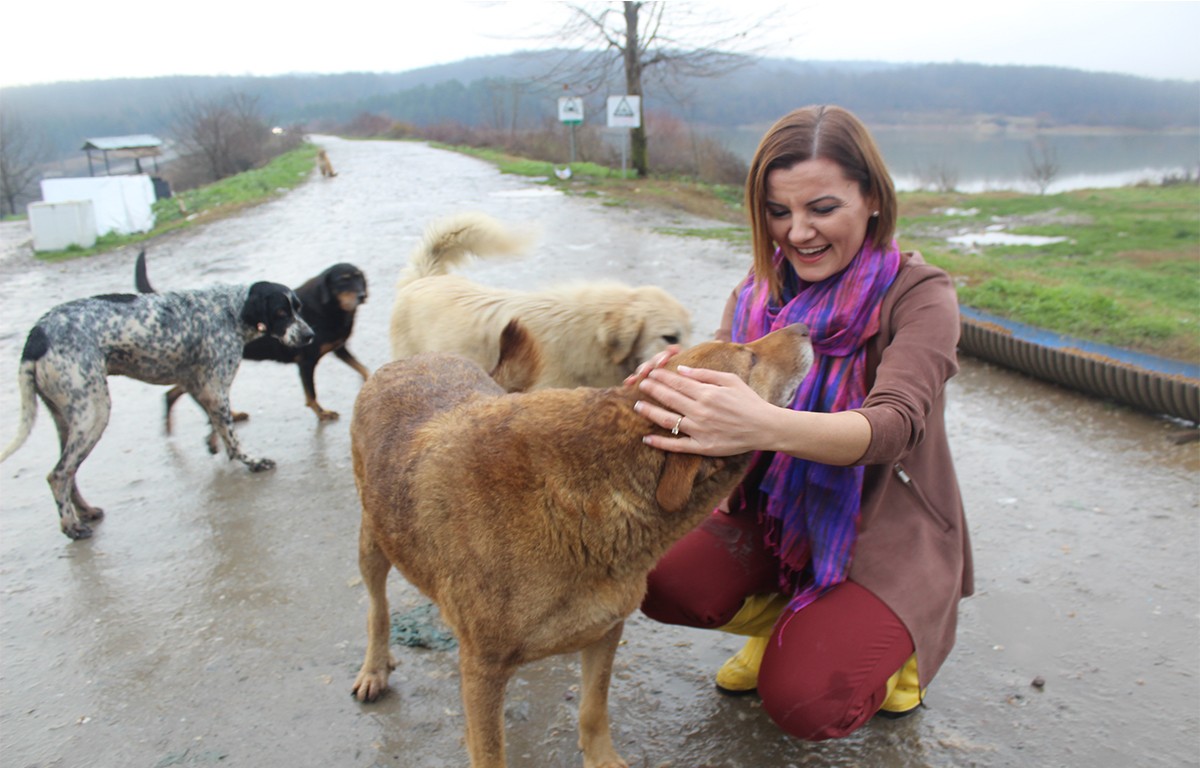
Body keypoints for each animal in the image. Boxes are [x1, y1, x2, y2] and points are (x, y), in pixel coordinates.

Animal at [2, 270, 312, 540]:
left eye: (298, 308)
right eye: (281, 313)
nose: (310, 335)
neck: (230, 311)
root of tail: (37, 335)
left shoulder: (198, 386)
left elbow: (218, 426)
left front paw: (214, 444)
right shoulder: (214, 389)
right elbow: (233, 438)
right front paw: (252, 462)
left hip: (68, 419)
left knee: (69, 474)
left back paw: (85, 511)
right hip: (94, 413)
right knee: (58, 475)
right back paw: (71, 527)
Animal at [136, 254, 369, 429]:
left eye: (359, 278)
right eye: (343, 280)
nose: (362, 295)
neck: (328, 308)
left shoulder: (339, 348)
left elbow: (364, 368)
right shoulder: (306, 362)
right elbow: (311, 395)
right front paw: (322, 414)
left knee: (175, 393)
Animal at [350, 321, 816, 763]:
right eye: (748, 358)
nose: (805, 328)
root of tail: (412, 360)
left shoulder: (607, 629)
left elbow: (594, 708)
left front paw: (601, 758)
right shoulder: (483, 669)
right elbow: (491, 751)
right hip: (373, 543)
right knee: (376, 608)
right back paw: (375, 665)